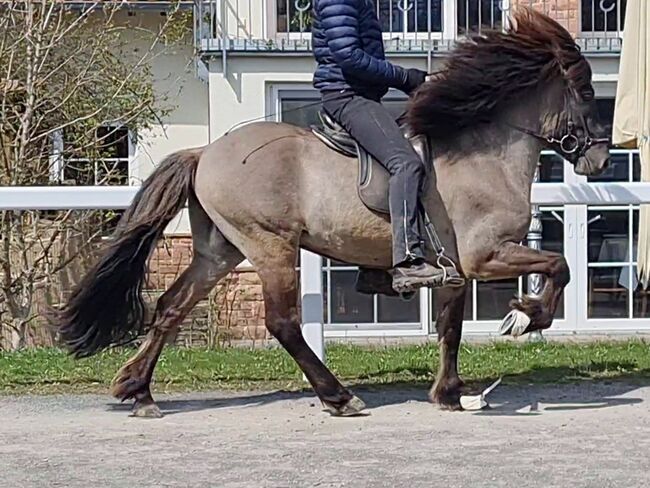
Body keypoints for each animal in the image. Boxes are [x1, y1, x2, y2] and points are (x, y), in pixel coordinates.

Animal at [55, 9, 608, 418]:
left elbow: (450, 328)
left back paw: (138, 391)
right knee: (282, 322)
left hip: (220, 249)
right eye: (584, 92)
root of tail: (206, 151)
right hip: (270, 245)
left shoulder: (455, 269)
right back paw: (337, 396)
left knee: (172, 306)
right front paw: (524, 317)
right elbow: (559, 266)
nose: (600, 158)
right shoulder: (485, 255)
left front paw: (451, 393)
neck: (483, 153)